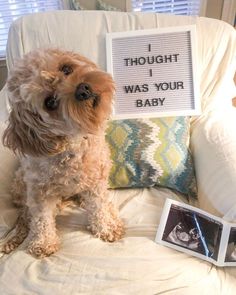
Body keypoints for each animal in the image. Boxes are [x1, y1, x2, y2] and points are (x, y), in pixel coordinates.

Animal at [1, 48, 124, 260]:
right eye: (50, 102)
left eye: (66, 68)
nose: (83, 90)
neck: (71, 147)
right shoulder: (39, 192)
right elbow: (41, 218)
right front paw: (43, 243)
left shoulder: (96, 181)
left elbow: (99, 207)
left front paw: (106, 227)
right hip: (20, 184)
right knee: (26, 216)